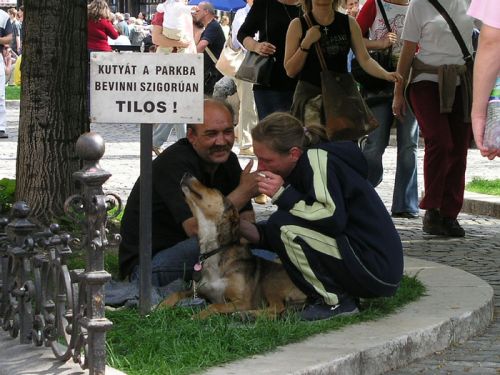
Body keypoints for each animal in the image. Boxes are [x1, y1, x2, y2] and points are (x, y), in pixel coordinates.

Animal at [162, 174, 306, 320]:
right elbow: (176, 293)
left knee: (277, 309)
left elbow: (215, 306)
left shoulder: (244, 301)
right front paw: (160, 307)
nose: (186, 173)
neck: (214, 250)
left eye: (214, 189)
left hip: (270, 282)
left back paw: (246, 314)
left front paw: (196, 317)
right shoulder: (197, 290)